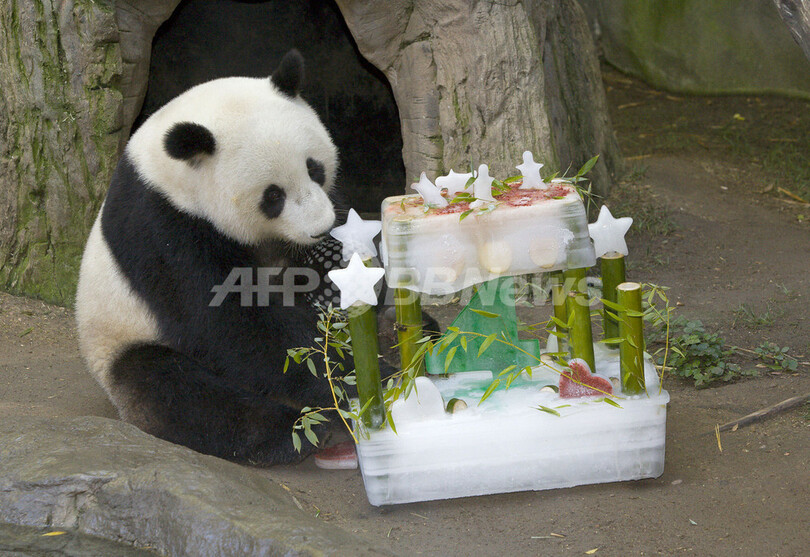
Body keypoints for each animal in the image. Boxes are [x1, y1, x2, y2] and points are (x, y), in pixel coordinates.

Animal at [76, 50, 350, 462]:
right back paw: (291, 433)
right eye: (273, 196)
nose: (320, 227)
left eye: (314, 169)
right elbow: (228, 322)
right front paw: (346, 379)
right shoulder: (162, 227)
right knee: (177, 392)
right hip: (118, 340)